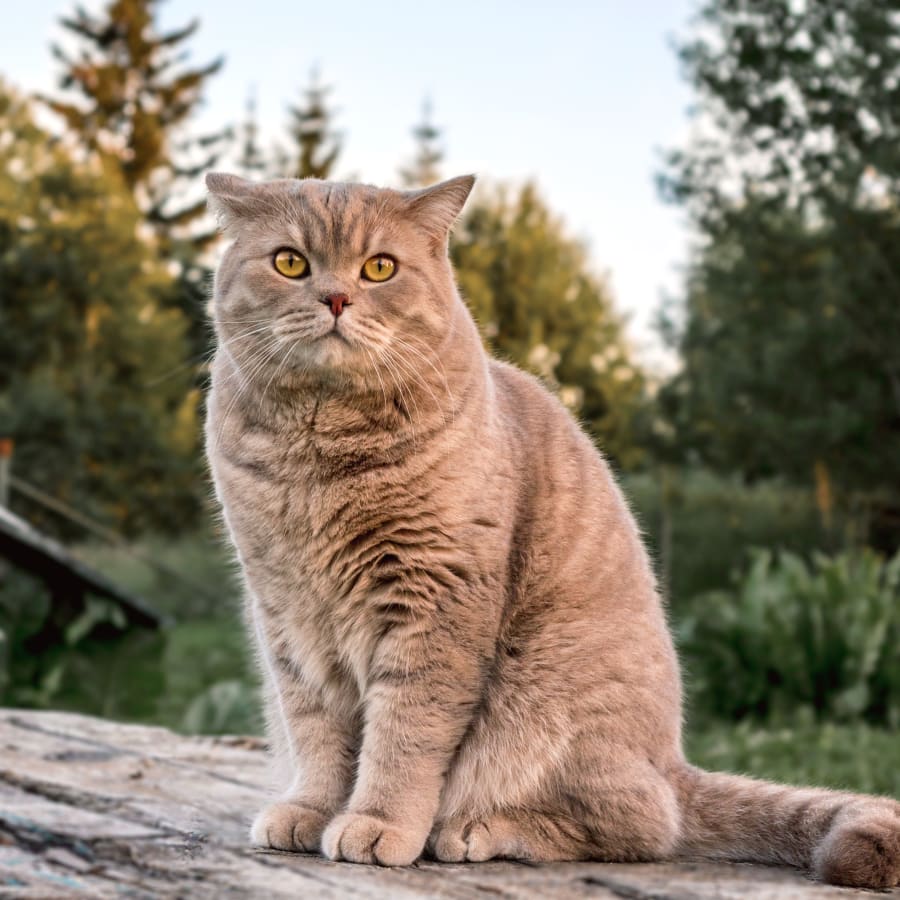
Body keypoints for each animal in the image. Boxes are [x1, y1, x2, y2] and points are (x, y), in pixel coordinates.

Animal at [206, 171, 900, 884]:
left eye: (380, 268)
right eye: (291, 262)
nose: (337, 297)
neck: (321, 455)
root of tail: (673, 764)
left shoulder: (431, 606)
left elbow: (403, 736)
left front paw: (377, 823)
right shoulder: (289, 616)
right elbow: (315, 731)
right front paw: (311, 810)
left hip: (547, 701)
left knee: (643, 824)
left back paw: (477, 828)